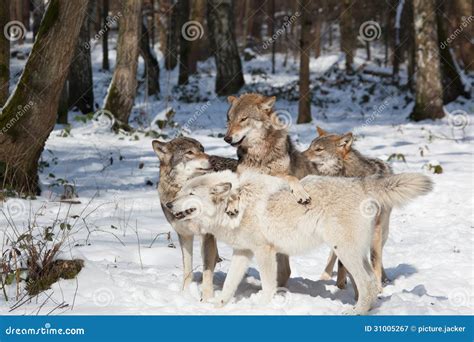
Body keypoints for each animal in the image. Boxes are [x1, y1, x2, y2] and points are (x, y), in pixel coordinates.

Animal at [167, 171, 434, 316]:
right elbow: (230, 284)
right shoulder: (243, 252)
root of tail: (361, 182)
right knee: (372, 283)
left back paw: (354, 312)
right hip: (354, 253)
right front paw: (218, 305)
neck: (235, 203)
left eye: (190, 194)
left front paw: (262, 306)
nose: (169, 205)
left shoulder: (265, 251)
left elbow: (268, 285)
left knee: (368, 283)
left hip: (344, 252)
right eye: (181, 191)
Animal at [224, 93, 320, 286]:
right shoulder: (244, 176)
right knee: (285, 271)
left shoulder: (279, 176)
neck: (259, 155)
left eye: (243, 119)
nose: (227, 138)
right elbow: (234, 188)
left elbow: (291, 178)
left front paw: (301, 193)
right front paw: (232, 205)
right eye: (229, 119)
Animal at [304, 127, 392, 292]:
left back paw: (384, 278)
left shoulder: (375, 229)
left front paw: (378, 287)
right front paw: (340, 284)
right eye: (309, 147)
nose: (300, 155)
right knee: (334, 254)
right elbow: (341, 262)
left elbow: (375, 258)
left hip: (382, 231)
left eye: (318, 149)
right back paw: (325, 276)